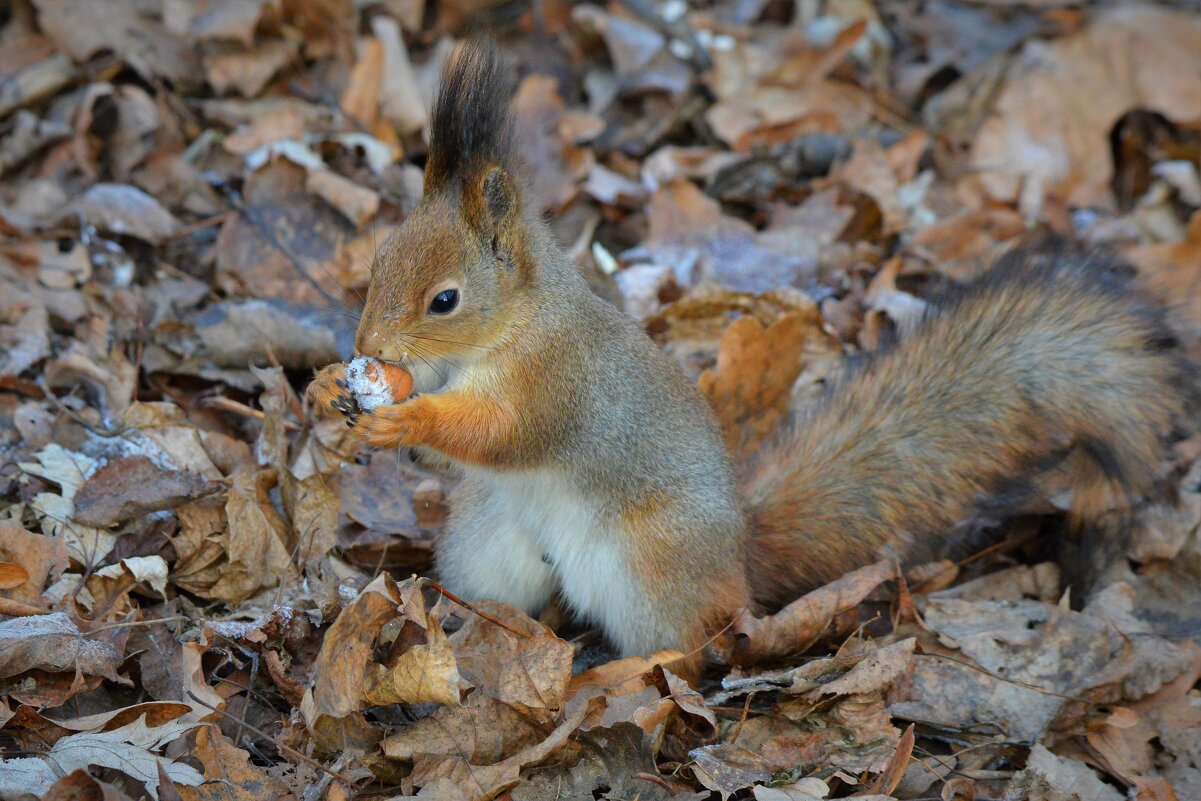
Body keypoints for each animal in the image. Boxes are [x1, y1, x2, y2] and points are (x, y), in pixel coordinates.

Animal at [305, 40, 1186, 682]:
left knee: (698, 641)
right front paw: (325, 392)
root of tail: (736, 557)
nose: (368, 348)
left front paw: (405, 418)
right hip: (491, 540)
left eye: (444, 299)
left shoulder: (557, 383)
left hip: (650, 561)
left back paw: (633, 669)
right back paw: (452, 620)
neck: (512, 328)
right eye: (378, 259)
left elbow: (499, 433)